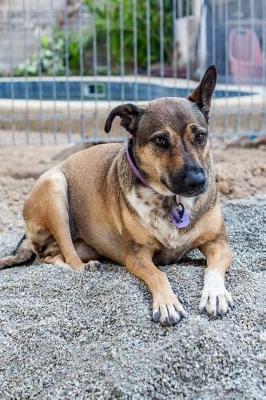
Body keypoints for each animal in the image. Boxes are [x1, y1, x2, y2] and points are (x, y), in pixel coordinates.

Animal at [0, 65, 233, 326]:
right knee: (66, 255)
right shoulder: (136, 255)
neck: (172, 200)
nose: (198, 182)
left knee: (50, 257)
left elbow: (213, 268)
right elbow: (158, 274)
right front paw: (167, 303)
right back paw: (85, 267)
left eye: (201, 136)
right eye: (160, 140)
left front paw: (215, 294)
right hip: (55, 188)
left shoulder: (219, 242)